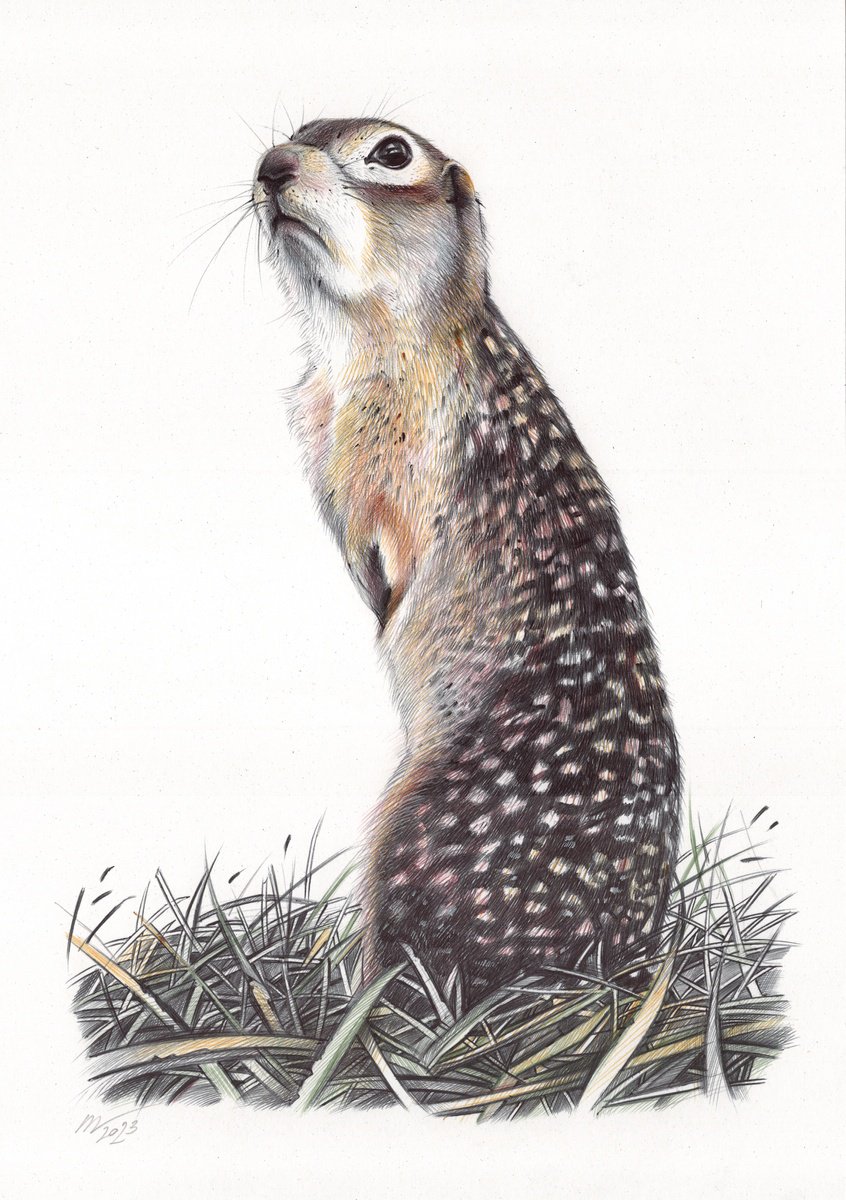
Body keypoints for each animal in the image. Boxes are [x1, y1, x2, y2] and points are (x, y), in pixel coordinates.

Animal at [252, 118, 682, 994]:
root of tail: (605, 974)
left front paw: (387, 612)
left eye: (392, 153)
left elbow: (386, 551)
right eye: (298, 131)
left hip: (411, 828)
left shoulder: (390, 453)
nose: (270, 165)